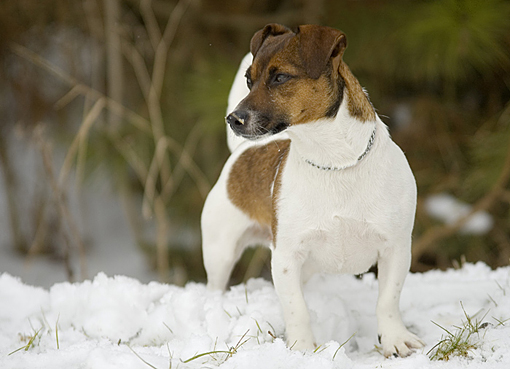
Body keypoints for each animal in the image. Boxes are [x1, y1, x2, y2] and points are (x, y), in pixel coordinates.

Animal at [201, 23, 424, 356]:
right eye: (249, 81)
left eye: (280, 77)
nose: (233, 119)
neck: (334, 162)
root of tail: (240, 152)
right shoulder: (285, 258)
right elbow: (297, 309)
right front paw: (302, 350)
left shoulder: (395, 248)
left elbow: (388, 300)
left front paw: (395, 339)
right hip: (220, 250)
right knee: (215, 284)